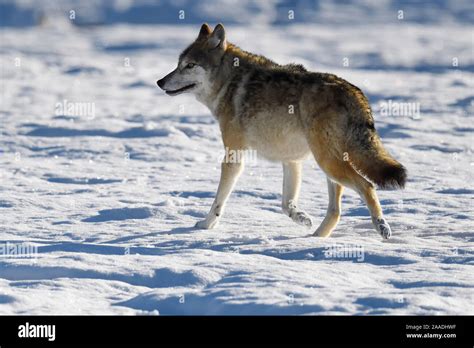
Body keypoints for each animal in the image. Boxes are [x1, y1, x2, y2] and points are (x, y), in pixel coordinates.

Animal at [156, 23, 408, 238]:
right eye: (178, 64)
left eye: (189, 65)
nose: (160, 82)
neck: (229, 83)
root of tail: (355, 93)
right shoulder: (291, 160)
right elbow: (286, 204)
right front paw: (302, 218)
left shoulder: (234, 156)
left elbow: (219, 199)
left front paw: (206, 225)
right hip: (329, 166)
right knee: (336, 211)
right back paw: (315, 238)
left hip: (328, 163)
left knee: (367, 186)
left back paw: (381, 226)